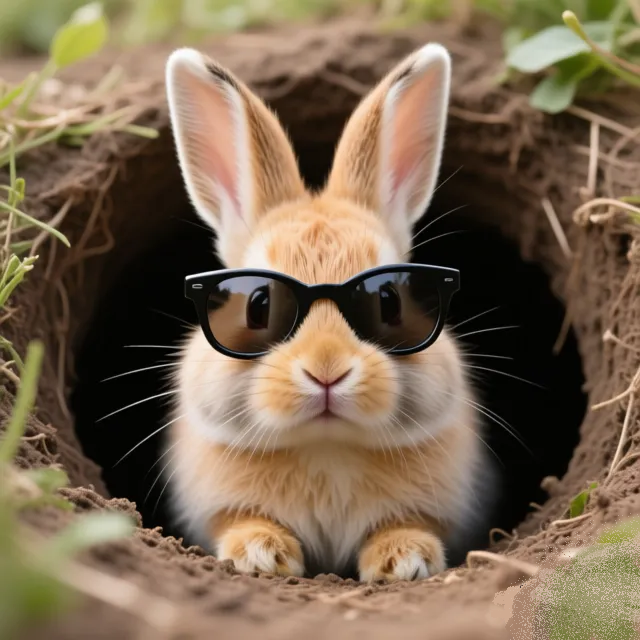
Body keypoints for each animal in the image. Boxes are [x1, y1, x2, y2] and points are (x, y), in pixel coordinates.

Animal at [163, 43, 497, 582]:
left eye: (389, 301)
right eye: (258, 305)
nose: (326, 370)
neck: (326, 448)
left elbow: (408, 524)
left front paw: (405, 559)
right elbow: (239, 521)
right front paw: (261, 554)